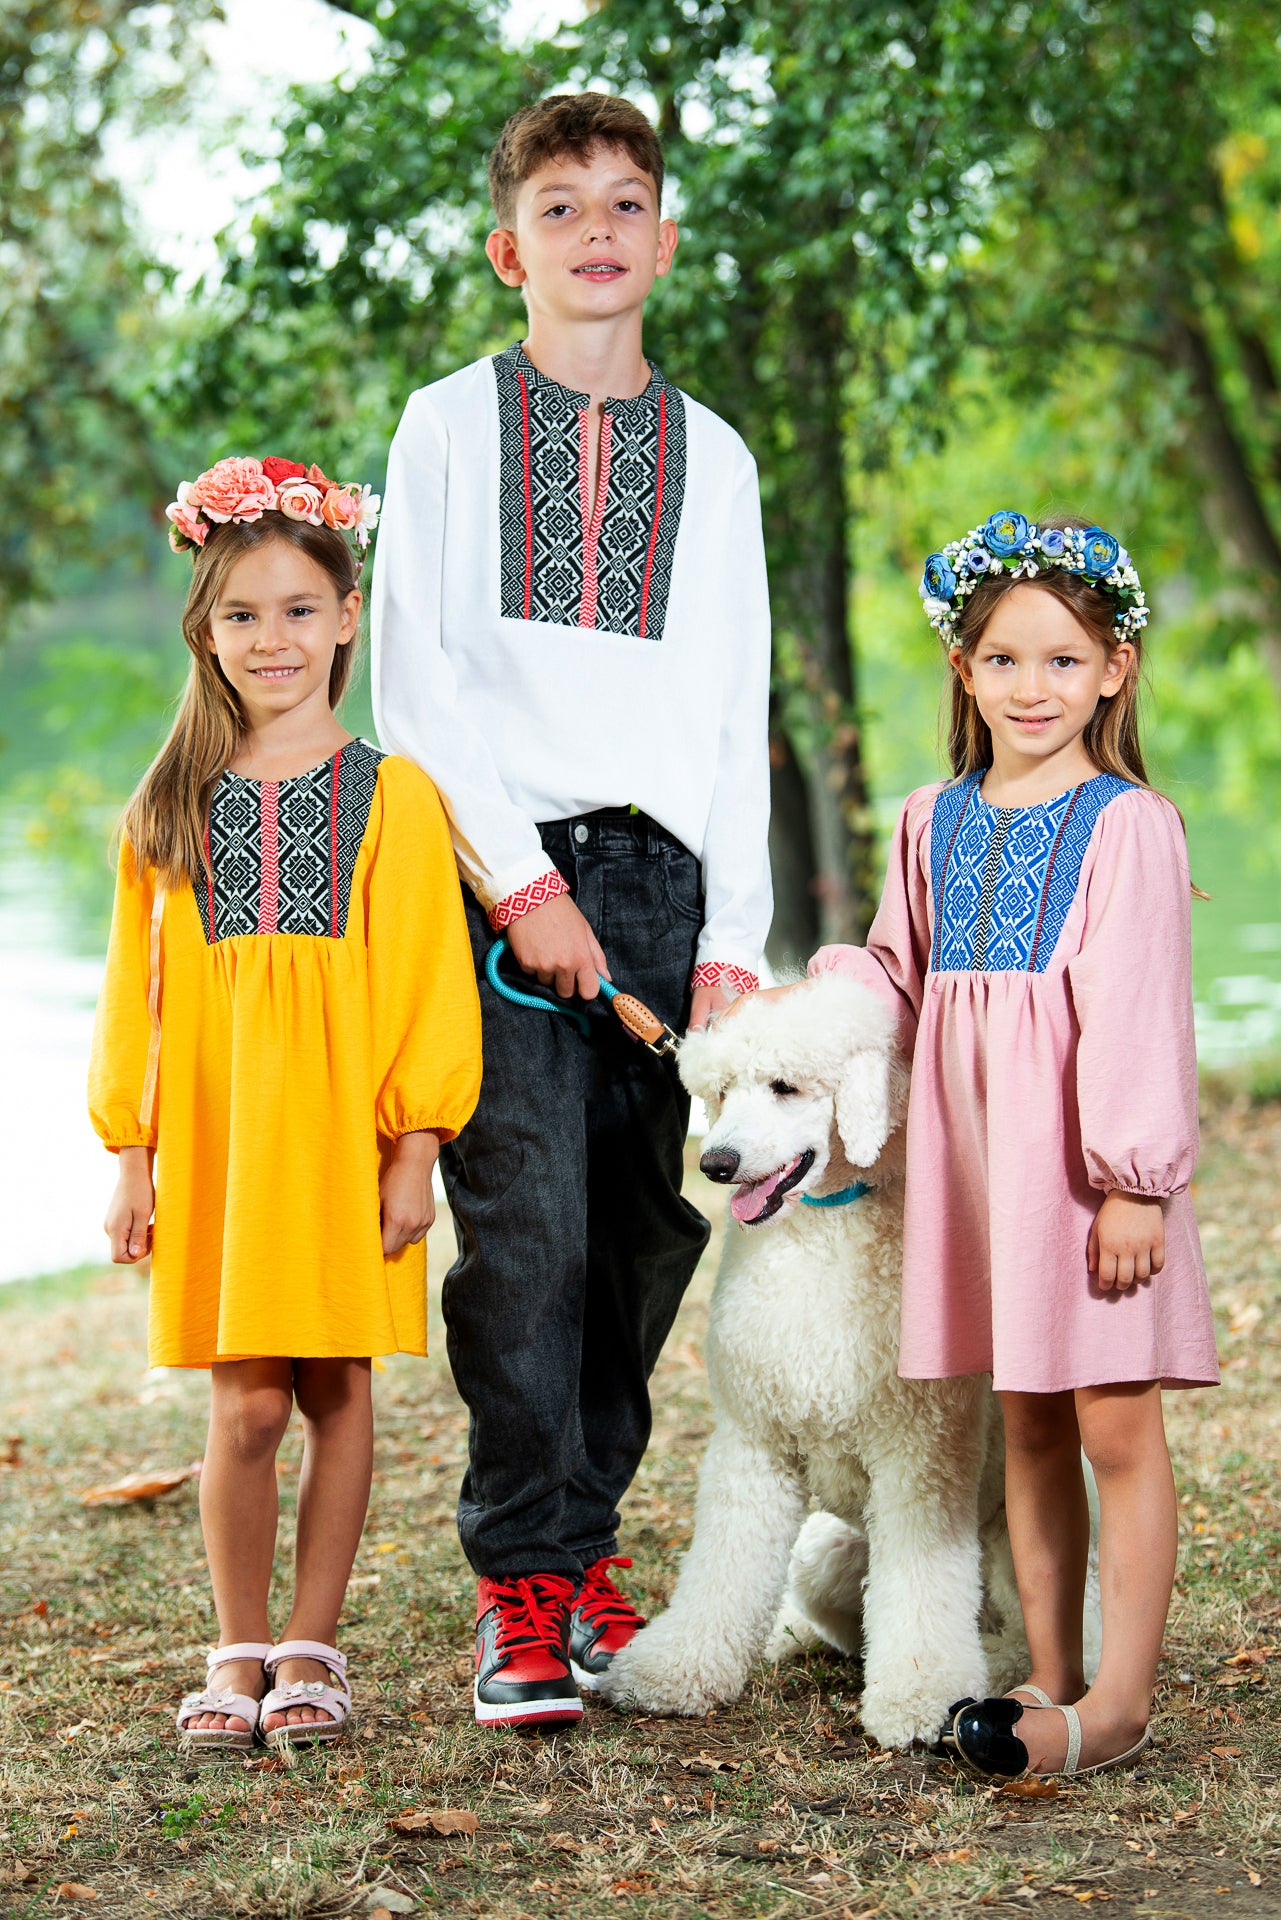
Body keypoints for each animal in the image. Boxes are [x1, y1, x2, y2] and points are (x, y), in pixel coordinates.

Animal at [600, 971, 1029, 1750]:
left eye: (785, 1086)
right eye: (723, 1091)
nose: (715, 1163)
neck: (821, 1230)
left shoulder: (920, 1454)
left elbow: (922, 1587)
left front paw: (919, 1696)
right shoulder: (753, 1441)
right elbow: (723, 1568)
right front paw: (677, 1670)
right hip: (823, 1552)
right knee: (845, 1626)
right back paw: (792, 1638)